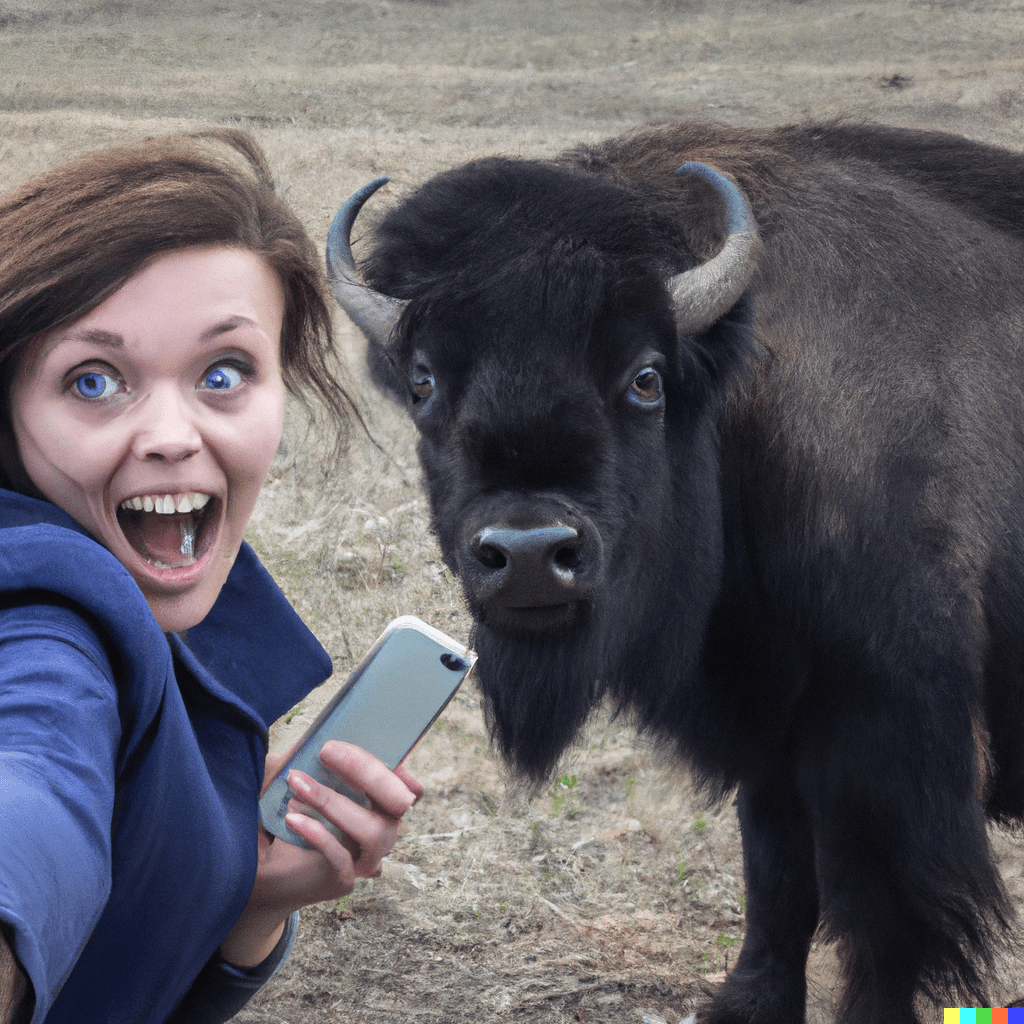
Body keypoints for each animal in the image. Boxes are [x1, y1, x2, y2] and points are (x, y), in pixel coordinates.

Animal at [325, 121, 1024, 1024]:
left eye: (646, 377)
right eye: (423, 381)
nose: (529, 554)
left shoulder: (890, 740)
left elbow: (879, 918)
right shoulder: (772, 728)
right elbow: (777, 877)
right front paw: (747, 1004)